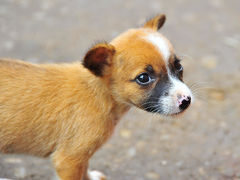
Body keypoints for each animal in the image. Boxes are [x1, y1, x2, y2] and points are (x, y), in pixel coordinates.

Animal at [0, 14, 192, 180]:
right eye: (143, 78)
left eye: (179, 66)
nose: (186, 101)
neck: (98, 93)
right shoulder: (69, 160)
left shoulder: (81, 158)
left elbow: (85, 170)